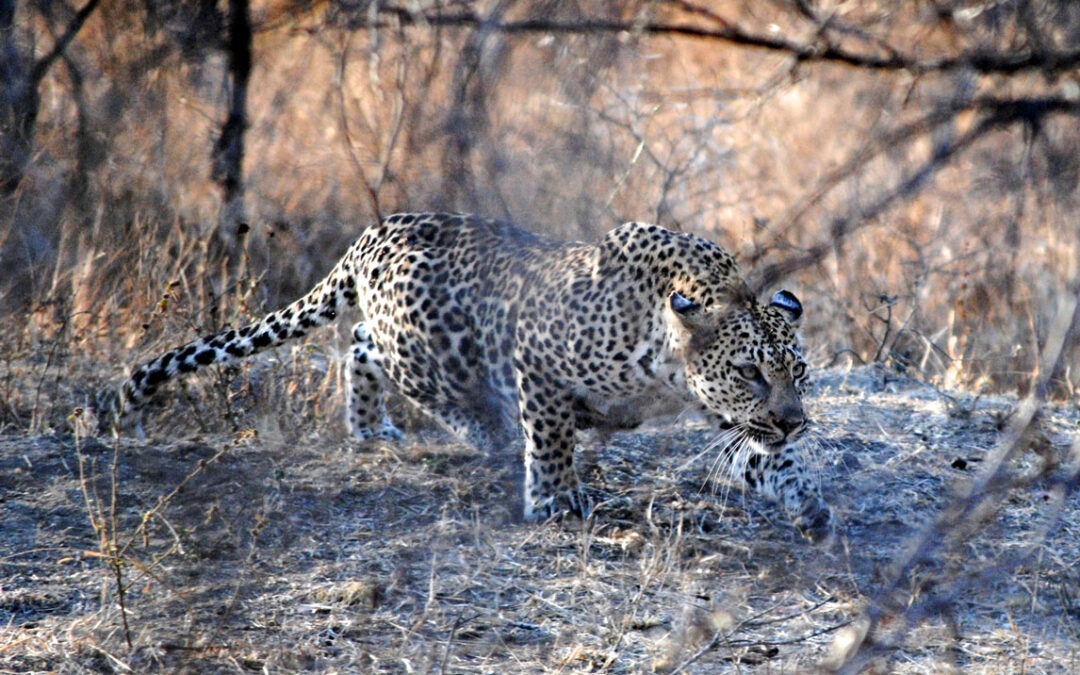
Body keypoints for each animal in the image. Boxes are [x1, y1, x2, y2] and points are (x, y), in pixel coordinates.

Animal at [99, 212, 831, 537]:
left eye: (797, 372)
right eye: (749, 370)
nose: (796, 423)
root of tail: (373, 231)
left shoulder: (731, 419)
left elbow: (762, 457)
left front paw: (807, 500)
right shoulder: (537, 355)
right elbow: (551, 439)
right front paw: (555, 500)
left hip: (407, 341)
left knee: (358, 344)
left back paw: (371, 428)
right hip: (434, 351)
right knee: (403, 367)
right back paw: (483, 436)